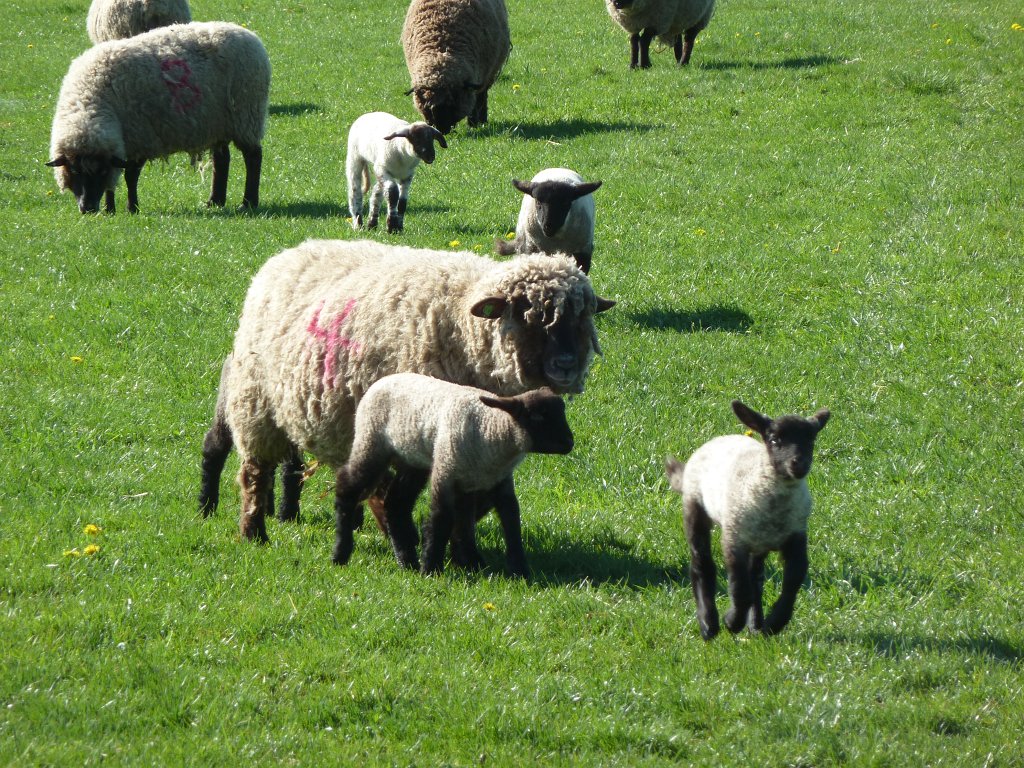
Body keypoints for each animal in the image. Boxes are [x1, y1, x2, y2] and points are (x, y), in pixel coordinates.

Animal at [47, 21, 270, 214]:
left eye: (100, 172)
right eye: (74, 171)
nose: (88, 208)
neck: (90, 104)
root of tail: (248, 34)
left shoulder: (141, 137)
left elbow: (130, 175)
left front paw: (131, 208)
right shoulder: (120, 143)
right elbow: (115, 179)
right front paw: (110, 210)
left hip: (246, 116)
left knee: (253, 157)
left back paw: (248, 202)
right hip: (217, 122)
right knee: (222, 159)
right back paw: (215, 201)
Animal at [207, 239, 614, 548]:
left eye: (582, 318)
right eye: (527, 313)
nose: (566, 365)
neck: (464, 321)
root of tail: (289, 253)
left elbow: (476, 499)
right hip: (256, 406)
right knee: (254, 473)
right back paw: (254, 532)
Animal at [333, 373, 574, 576]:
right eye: (537, 416)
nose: (569, 442)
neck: (492, 427)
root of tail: (382, 380)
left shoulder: (492, 483)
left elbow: (506, 521)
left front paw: (515, 570)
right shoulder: (446, 473)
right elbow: (441, 519)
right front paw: (431, 569)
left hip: (413, 460)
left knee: (396, 503)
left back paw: (406, 560)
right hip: (371, 443)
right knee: (347, 487)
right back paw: (341, 553)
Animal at [401, 0, 511, 134]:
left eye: (453, 102)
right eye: (428, 106)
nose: (441, 130)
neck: (441, 49)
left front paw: (474, 124)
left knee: (481, 97)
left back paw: (481, 121)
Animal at [665, 400, 830, 640]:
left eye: (811, 439)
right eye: (774, 439)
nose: (799, 464)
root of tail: (720, 438)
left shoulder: (796, 535)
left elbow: (793, 581)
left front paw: (774, 623)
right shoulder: (734, 540)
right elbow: (740, 588)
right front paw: (732, 622)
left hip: (758, 542)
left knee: (756, 579)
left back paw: (755, 624)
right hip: (695, 507)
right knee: (701, 564)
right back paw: (709, 624)